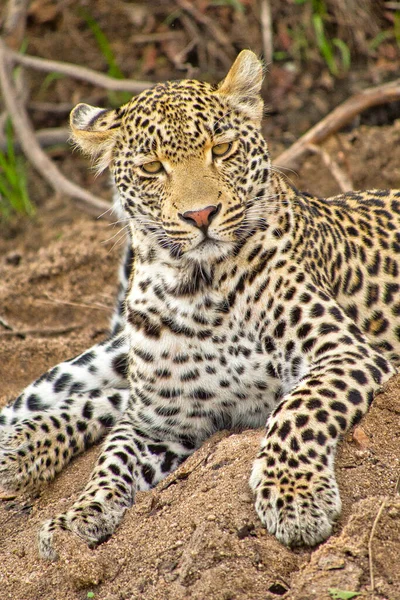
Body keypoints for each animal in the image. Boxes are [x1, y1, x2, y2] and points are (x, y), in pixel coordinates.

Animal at [0, 49, 400, 560]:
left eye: (222, 148)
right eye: (153, 168)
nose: (201, 215)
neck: (197, 288)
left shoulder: (344, 352)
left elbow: (298, 410)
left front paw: (294, 496)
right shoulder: (161, 421)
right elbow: (113, 455)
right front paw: (78, 517)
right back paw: (21, 445)